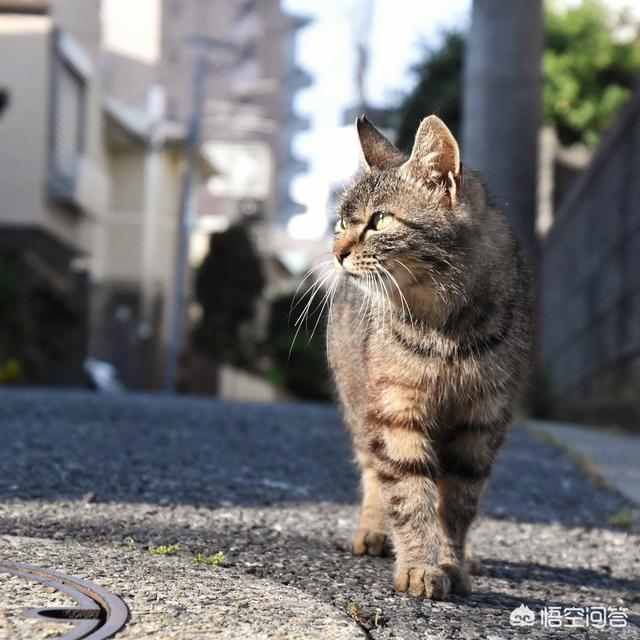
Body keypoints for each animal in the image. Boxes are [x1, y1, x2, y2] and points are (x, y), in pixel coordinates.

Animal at [328, 115, 532, 600]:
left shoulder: (482, 422)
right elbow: (408, 496)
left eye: (380, 220)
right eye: (341, 222)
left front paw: (451, 563)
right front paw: (420, 566)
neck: (445, 331)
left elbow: (456, 505)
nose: (336, 252)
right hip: (361, 408)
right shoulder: (396, 414)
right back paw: (373, 532)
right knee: (373, 475)